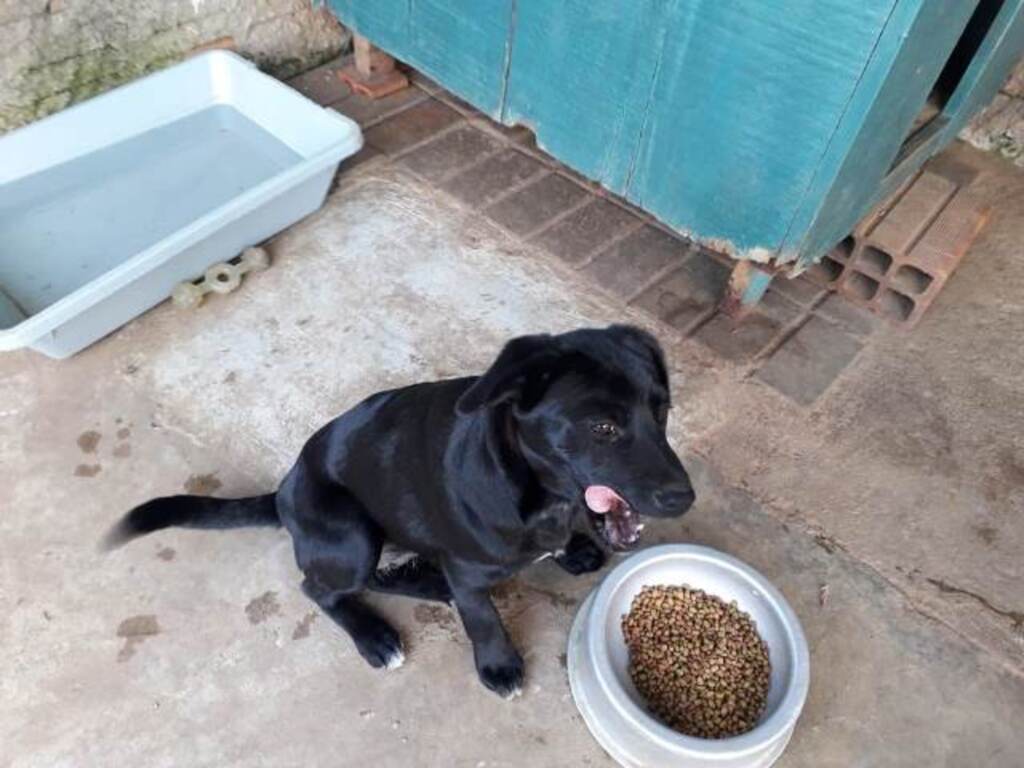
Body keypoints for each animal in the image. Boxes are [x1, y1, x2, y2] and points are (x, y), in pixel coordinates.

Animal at [103, 325, 696, 696]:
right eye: (604, 427)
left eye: (662, 410)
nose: (684, 497)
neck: (541, 495)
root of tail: (283, 491)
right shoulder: (468, 569)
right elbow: (482, 617)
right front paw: (498, 664)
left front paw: (573, 550)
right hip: (352, 535)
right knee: (321, 587)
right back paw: (376, 636)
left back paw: (428, 585)